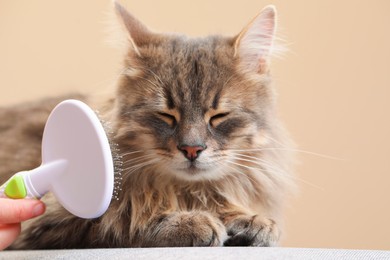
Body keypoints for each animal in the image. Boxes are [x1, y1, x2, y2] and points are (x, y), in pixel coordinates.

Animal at [0, 2, 292, 250]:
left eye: (219, 116)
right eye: (166, 115)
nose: (192, 149)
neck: (184, 191)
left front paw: (250, 220)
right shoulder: (54, 225)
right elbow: (125, 222)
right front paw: (189, 221)